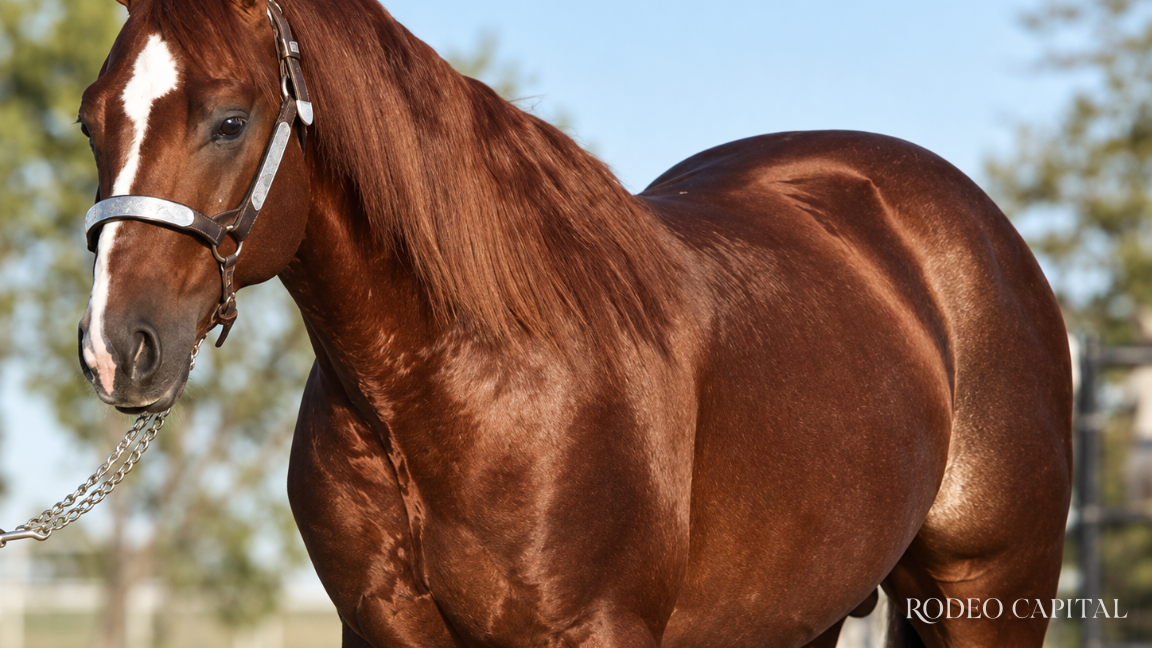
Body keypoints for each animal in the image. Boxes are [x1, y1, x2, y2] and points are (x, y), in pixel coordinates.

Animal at [73, 0, 1073, 646]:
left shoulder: (595, 631)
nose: (118, 349)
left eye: (229, 119)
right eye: (91, 122)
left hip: (989, 593)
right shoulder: (381, 629)